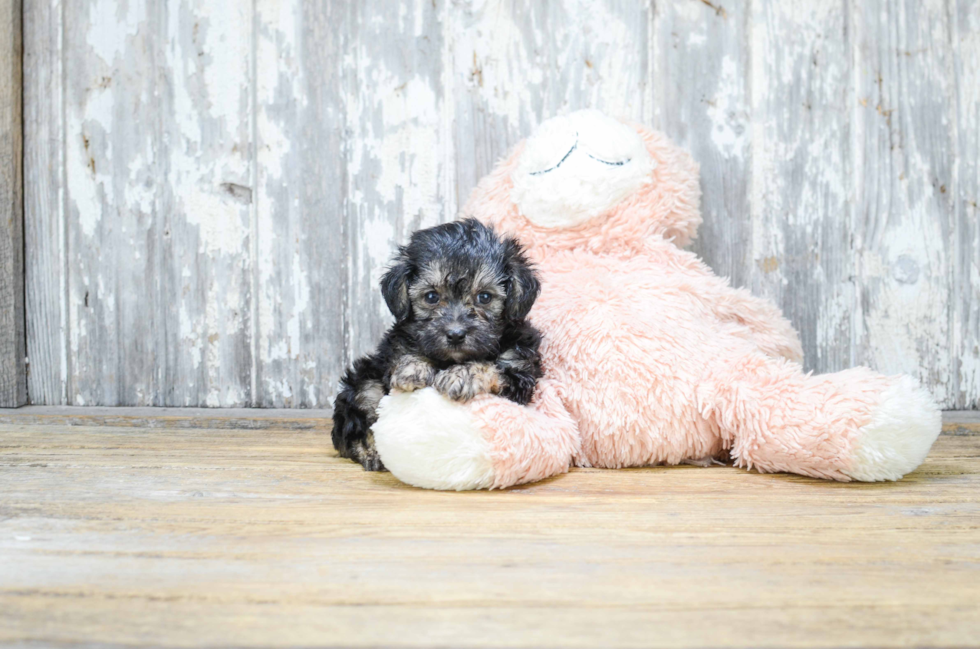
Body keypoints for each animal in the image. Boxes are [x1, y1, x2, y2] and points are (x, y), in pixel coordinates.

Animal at [332, 219, 544, 470]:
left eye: (484, 297)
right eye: (431, 297)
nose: (455, 334)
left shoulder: (520, 371)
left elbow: (492, 367)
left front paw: (462, 375)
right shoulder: (394, 348)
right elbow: (405, 354)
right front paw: (413, 367)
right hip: (364, 381)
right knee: (357, 417)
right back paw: (371, 450)